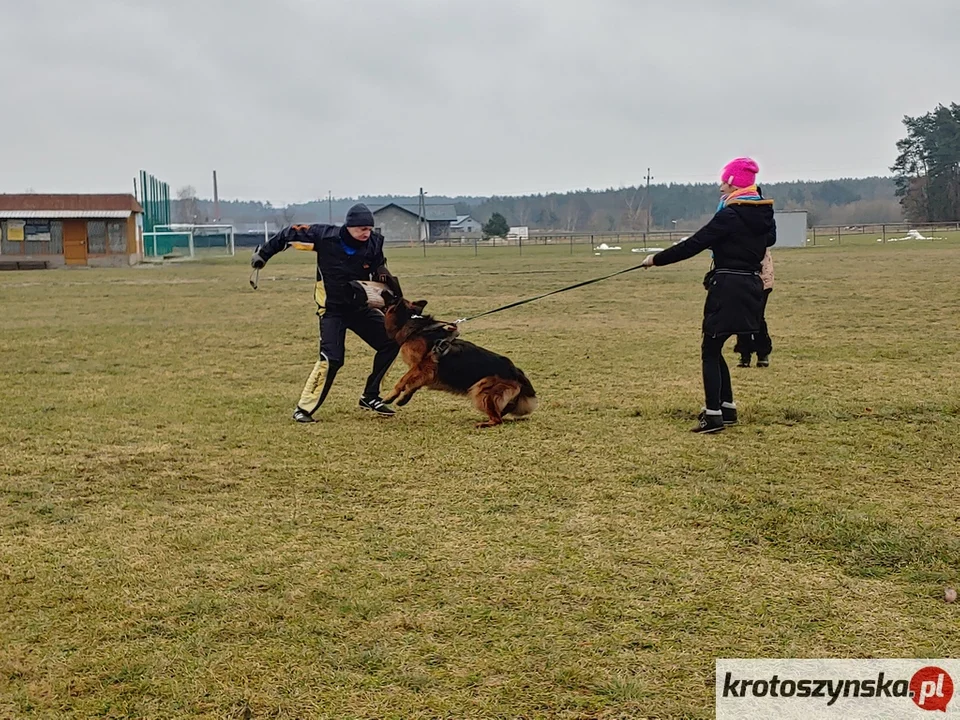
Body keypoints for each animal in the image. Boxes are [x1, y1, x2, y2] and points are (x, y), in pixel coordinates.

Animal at [378, 294, 536, 428]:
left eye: (392, 298)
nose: (382, 291)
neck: (413, 323)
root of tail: (516, 371)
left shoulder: (422, 366)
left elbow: (403, 380)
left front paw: (389, 397)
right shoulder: (426, 372)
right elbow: (414, 385)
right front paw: (404, 398)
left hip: (480, 389)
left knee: (497, 420)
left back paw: (483, 424)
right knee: (500, 414)